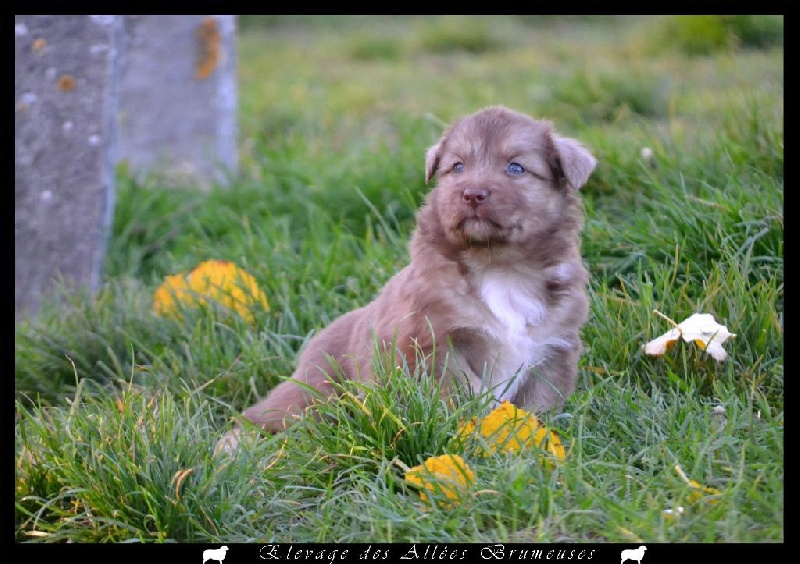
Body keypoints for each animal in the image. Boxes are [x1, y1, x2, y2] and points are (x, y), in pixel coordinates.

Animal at [217, 106, 592, 454]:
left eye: (516, 168)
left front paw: (528, 442)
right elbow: (464, 394)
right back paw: (232, 448)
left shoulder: (554, 349)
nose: (472, 194)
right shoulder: (435, 342)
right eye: (458, 167)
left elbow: (536, 408)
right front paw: (474, 436)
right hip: (316, 390)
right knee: (266, 416)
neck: (499, 265)